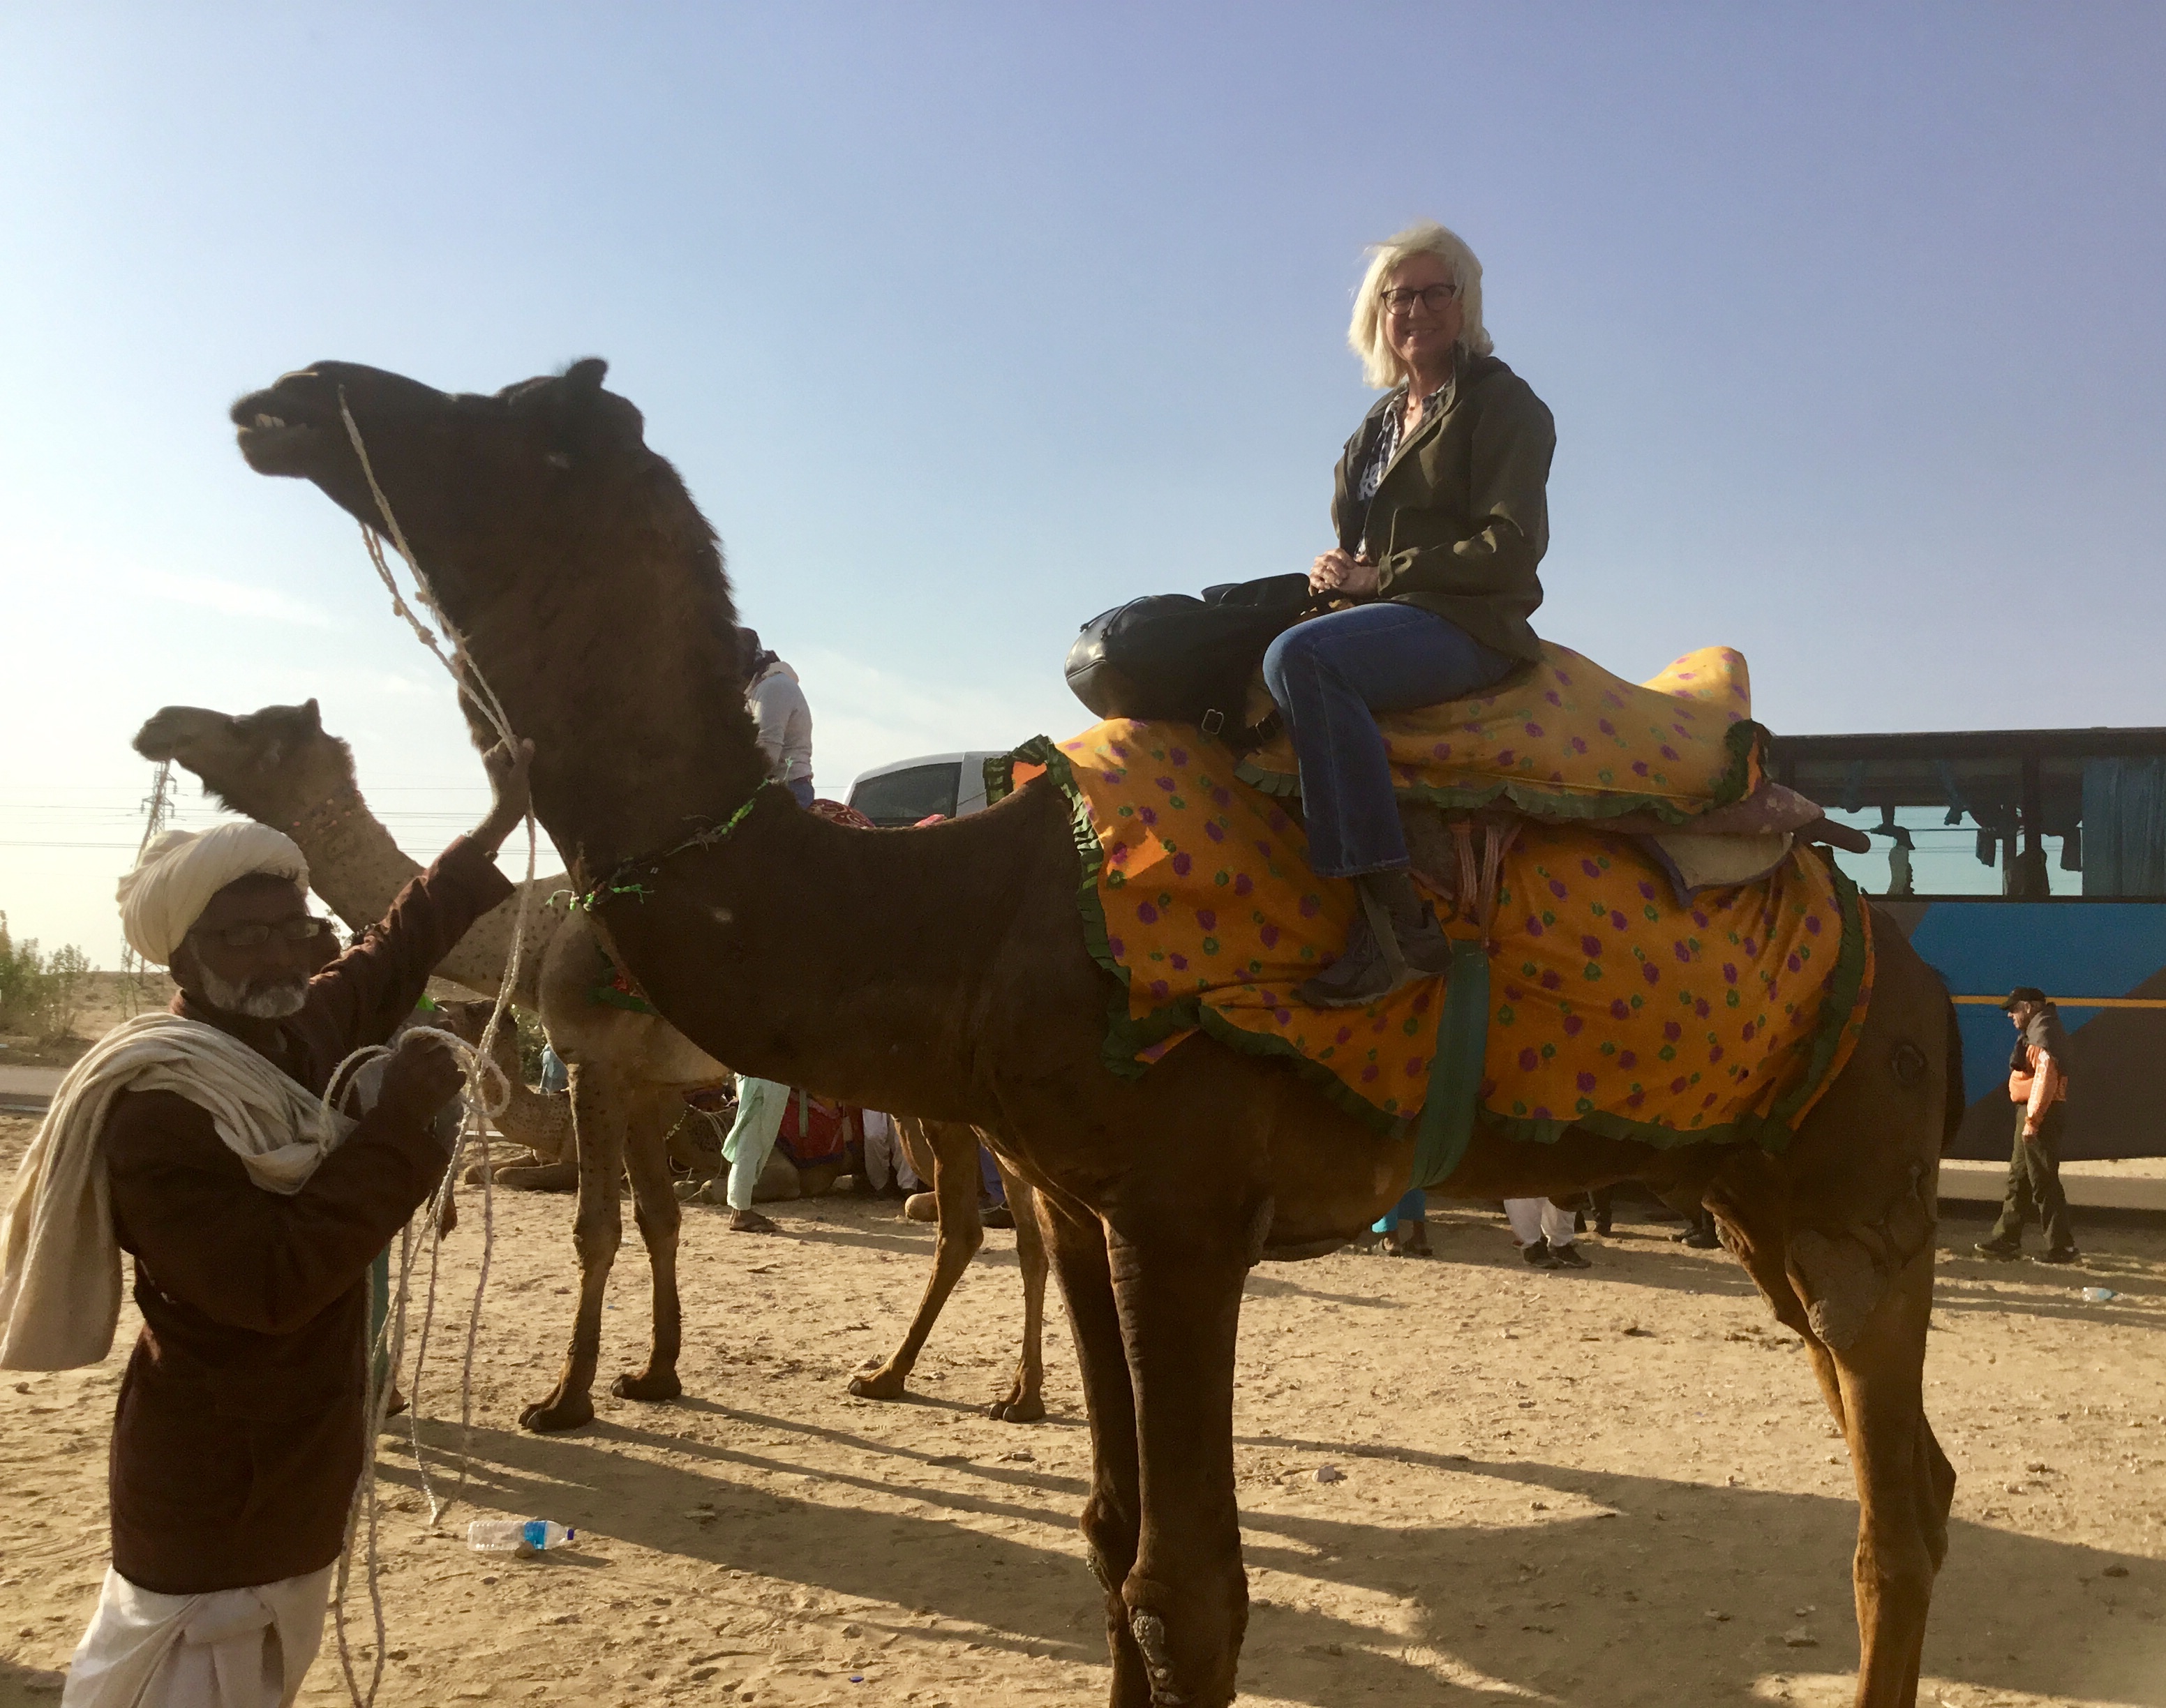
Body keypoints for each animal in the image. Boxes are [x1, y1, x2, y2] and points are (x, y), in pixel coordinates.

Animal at [131, 698, 1048, 1422]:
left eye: (255, 729)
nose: (160, 723)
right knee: (1007, 1224)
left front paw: (563, 1401)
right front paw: (654, 1376)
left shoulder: (591, 1065)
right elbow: (659, 1221)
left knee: (974, 1221)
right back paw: (990, 1390)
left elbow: (595, 1227)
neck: (532, 934)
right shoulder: (645, 1087)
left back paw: (920, 1378)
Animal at [229, 357, 1961, 1708]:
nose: (291, 396)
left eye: (519, 424)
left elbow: (1186, 1596)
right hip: (1755, 1198)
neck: (986, 909)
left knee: (1895, 1512)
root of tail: (1904, 955)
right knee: (1903, 1466)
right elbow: (1104, 1539)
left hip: (1858, 1189)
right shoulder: (1075, 1200)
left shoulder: (1185, 1216)